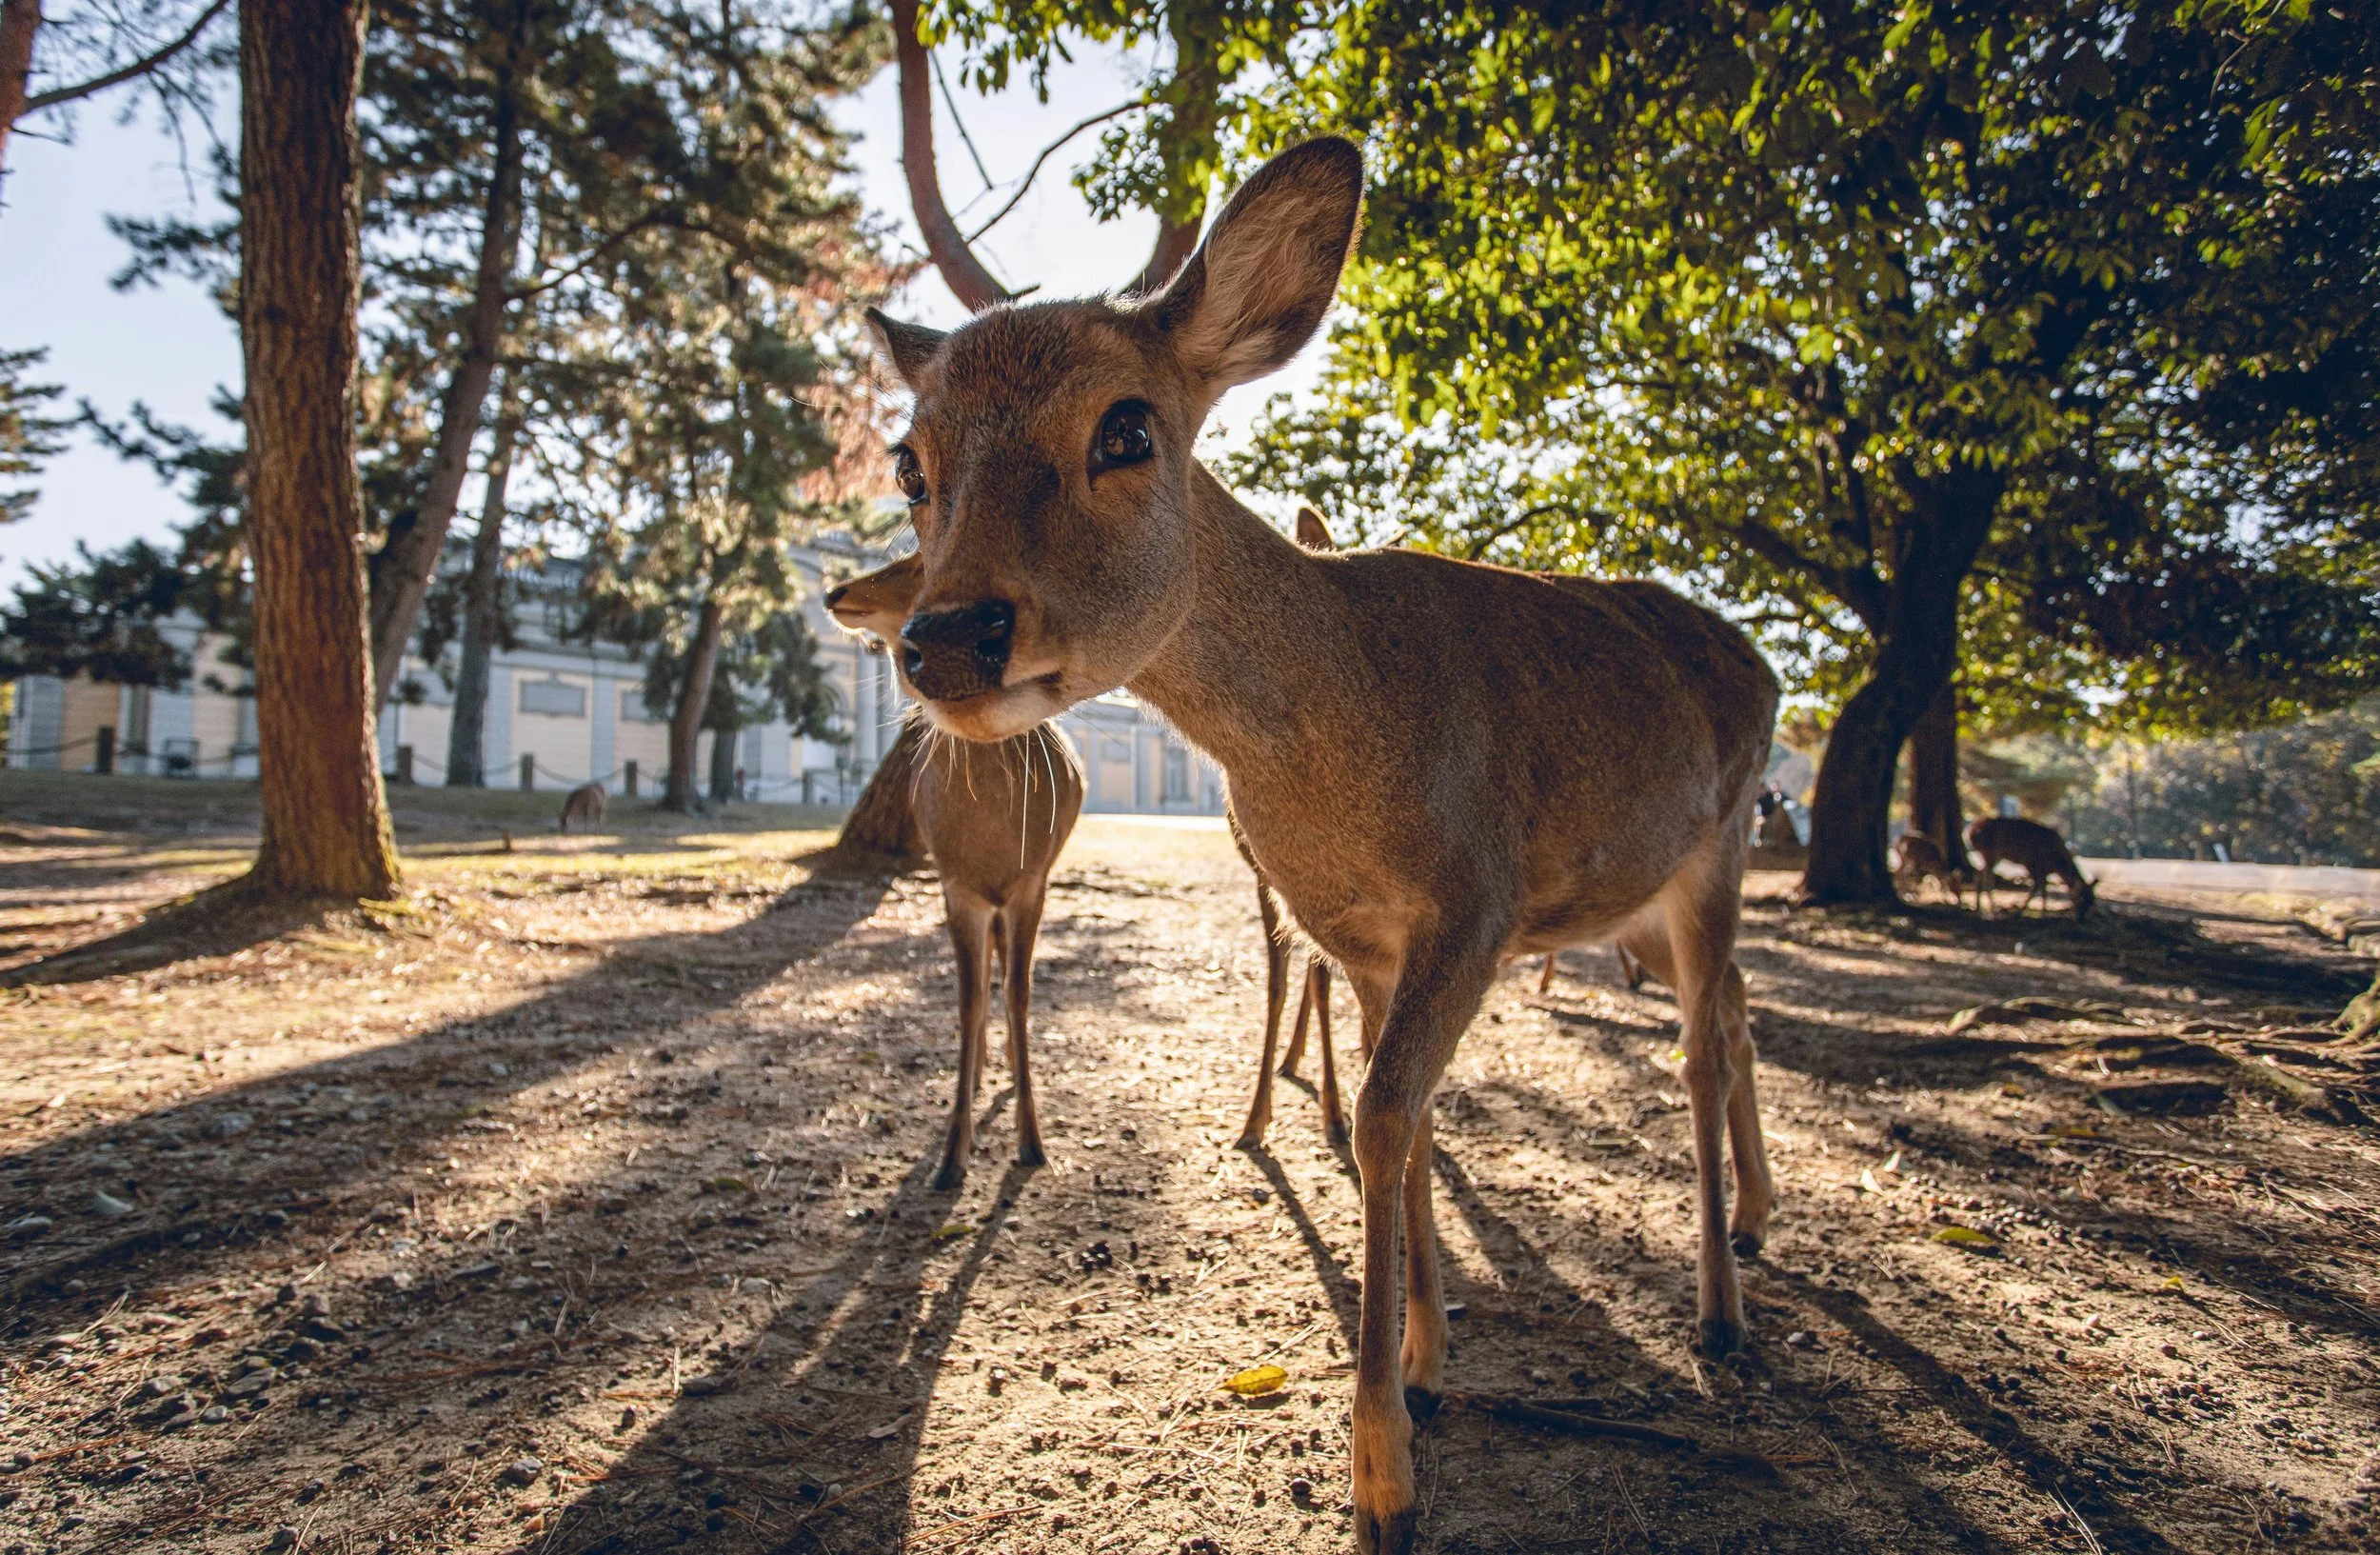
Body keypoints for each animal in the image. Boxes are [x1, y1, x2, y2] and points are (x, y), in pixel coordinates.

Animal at [825, 554, 1085, 1189]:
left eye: (922, 560)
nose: (835, 591)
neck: (989, 836)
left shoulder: (1031, 884)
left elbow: (1020, 992)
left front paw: (1032, 1142)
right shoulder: (956, 886)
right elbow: (967, 1001)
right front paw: (950, 1156)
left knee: (1005, 971)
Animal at [861, 138, 1780, 1554]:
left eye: (1127, 426)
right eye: (911, 461)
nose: (949, 639)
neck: (1341, 752)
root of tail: (1767, 665)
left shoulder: (1476, 900)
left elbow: (1389, 1113)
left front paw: (1384, 1473)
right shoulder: (1352, 930)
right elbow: (1390, 1111)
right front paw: (1429, 1361)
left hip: (1720, 842)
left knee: (1700, 1040)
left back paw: (1721, 1313)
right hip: (1652, 893)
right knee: (1734, 1009)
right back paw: (1756, 1225)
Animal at [1967, 815, 2096, 921]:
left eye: (2092, 901)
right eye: (2080, 898)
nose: (2081, 919)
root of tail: (1971, 832)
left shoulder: (2044, 871)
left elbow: (2043, 890)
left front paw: (2044, 914)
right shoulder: (2031, 864)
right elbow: (2035, 889)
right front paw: (2018, 914)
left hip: (1992, 855)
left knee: (1979, 873)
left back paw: (1978, 909)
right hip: (1991, 852)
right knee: (1986, 877)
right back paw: (1992, 911)